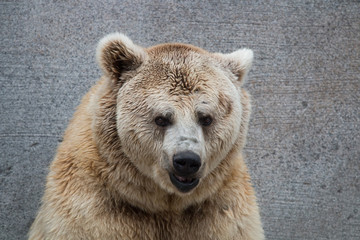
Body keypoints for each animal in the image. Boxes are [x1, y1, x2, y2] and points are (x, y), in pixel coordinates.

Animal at [28, 32, 264, 240]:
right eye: (161, 118)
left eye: (206, 118)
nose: (187, 161)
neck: (162, 200)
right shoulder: (93, 208)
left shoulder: (219, 209)